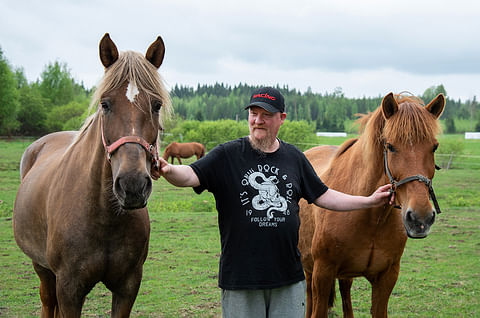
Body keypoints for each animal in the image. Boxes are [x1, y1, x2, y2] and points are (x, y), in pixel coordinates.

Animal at [12, 33, 172, 316]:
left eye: (156, 105)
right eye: (105, 104)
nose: (132, 186)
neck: (103, 215)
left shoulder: (128, 286)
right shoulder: (69, 290)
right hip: (42, 268)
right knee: (47, 301)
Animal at [300, 92, 446, 318]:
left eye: (434, 147)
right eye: (391, 146)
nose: (420, 218)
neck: (371, 219)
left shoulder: (386, 278)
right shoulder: (322, 274)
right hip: (309, 270)